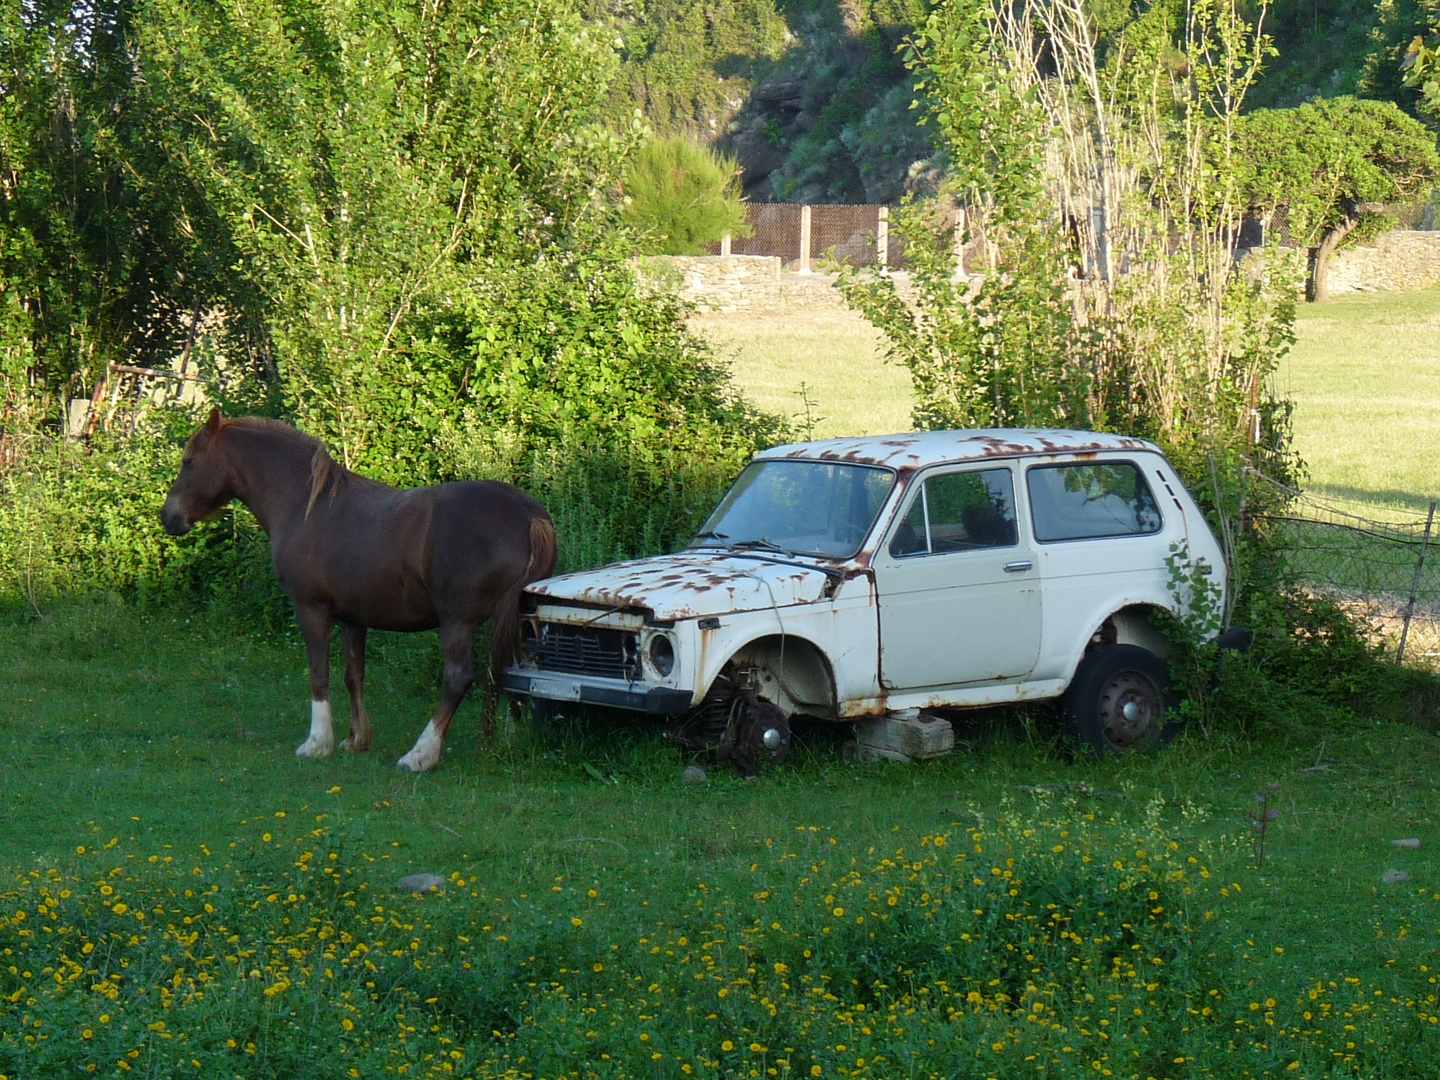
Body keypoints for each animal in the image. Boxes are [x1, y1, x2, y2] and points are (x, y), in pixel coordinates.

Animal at [162, 408, 555, 771]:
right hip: (518, 619)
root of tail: (528, 514)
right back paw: (510, 739)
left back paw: (421, 754)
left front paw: (317, 743)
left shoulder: (312, 610)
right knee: (514, 671)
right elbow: (354, 675)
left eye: (189, 461)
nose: (169, 517)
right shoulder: (352, 618)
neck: (305, 504)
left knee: (459, 679)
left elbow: (319, 674)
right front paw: (356, 740)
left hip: (459, 622)